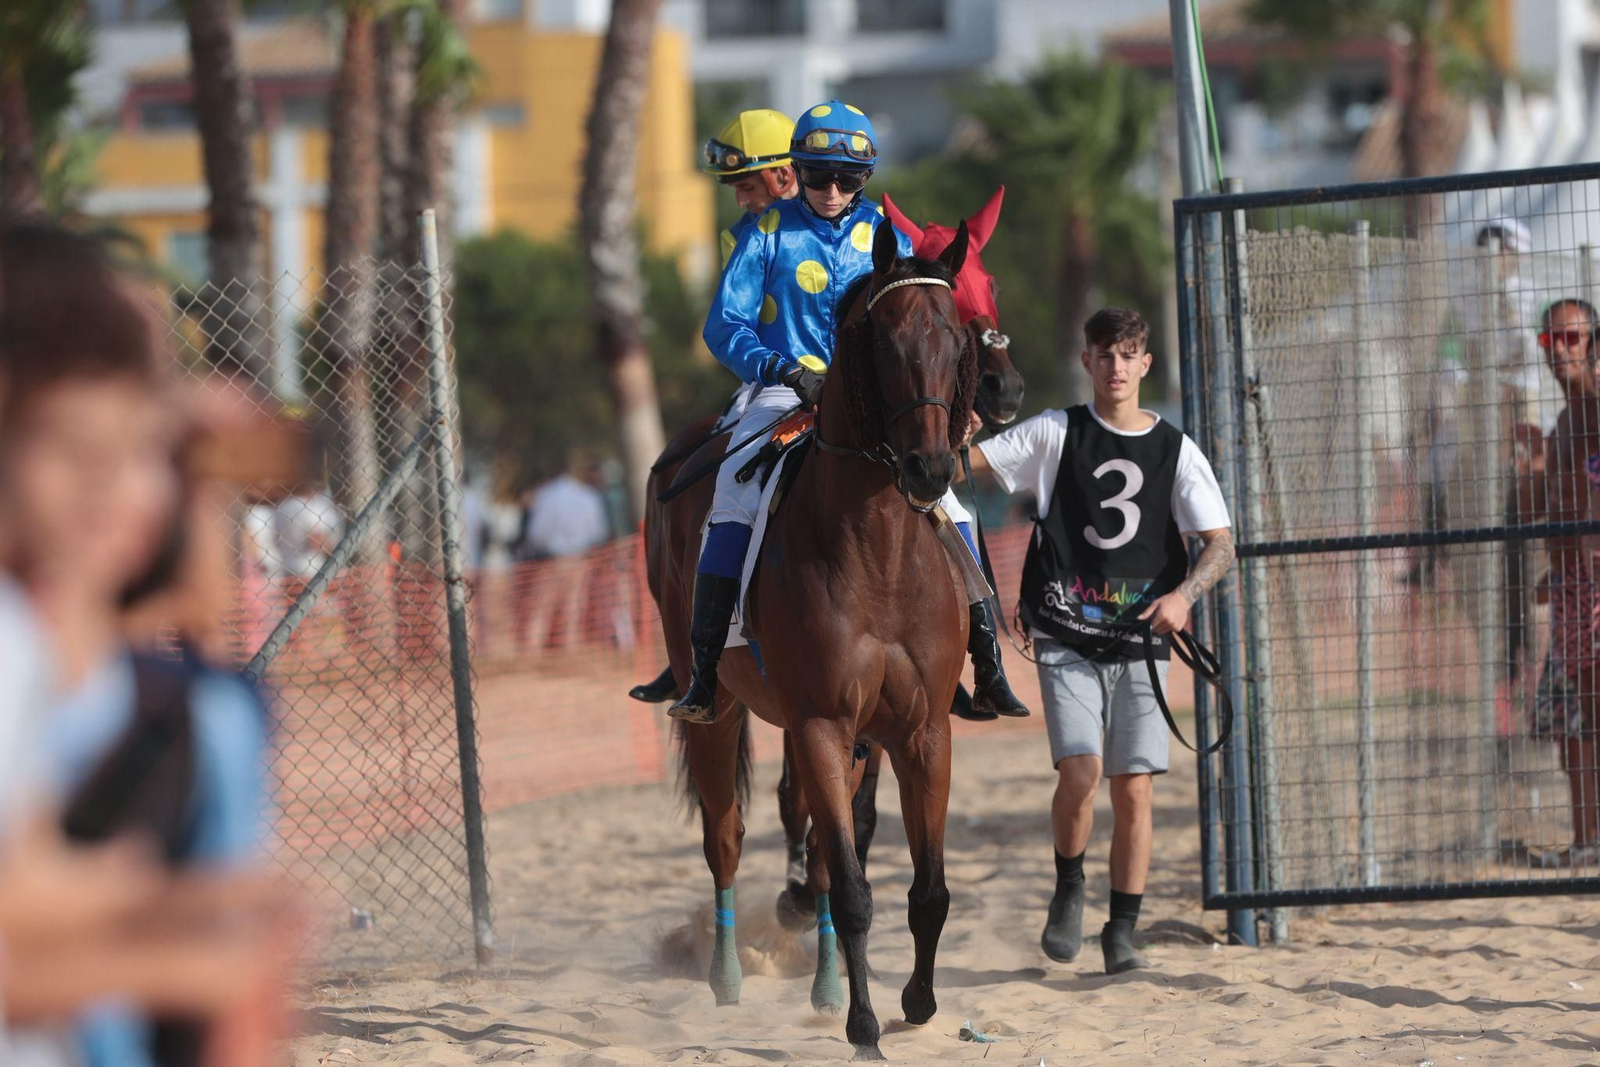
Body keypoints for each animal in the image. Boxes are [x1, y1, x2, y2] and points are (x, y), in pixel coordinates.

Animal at [659, 220, 976, 1059]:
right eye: (886, 341)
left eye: (957, 339)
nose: (930, 469)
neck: (879, 552)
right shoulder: (824, 723)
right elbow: (857, 890)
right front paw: (865, 1027)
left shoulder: (921, 730)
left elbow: (926, 888)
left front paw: (917, 1000)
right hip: (722, 709)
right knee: (727, 838)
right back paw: (730, 976)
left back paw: (827, 980)